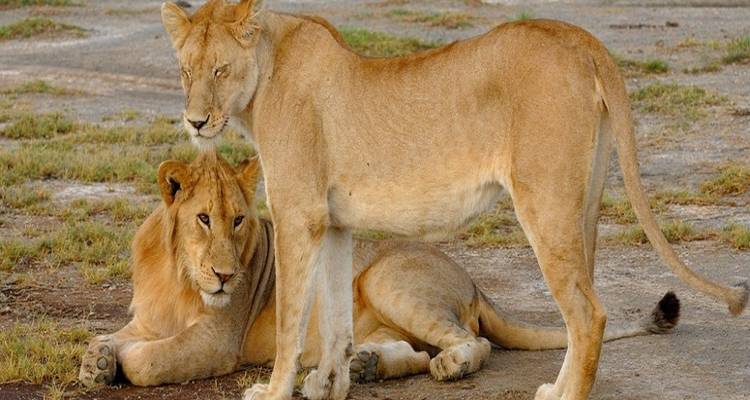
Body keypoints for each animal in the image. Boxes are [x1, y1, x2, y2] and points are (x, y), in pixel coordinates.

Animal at [78, 152, 680, 389]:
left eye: (239, 220)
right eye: (203, 218)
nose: (225, 276)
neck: (177, 273)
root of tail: (472, 279)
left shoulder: (217, 340)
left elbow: (147, 362)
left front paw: (118, 364)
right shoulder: (147, 320)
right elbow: (111, 336)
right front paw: (95, 360)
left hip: (388, 281)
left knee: (472, 342)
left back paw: (449, 368)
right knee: (414, 351)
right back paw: (366, 365)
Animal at [159, 1, 748, 399]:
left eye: (220, 70)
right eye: (185, 70)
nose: (195, 122)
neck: (265, 75)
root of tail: (582, 38)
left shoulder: (296, 214)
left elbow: (290, 318)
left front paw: (277, 389)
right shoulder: (333, 222)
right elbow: (334, 319)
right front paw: (329, 383)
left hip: (545, 202)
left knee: (587, 313)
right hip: (582, 206)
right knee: (582, 311)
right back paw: (555, 388)